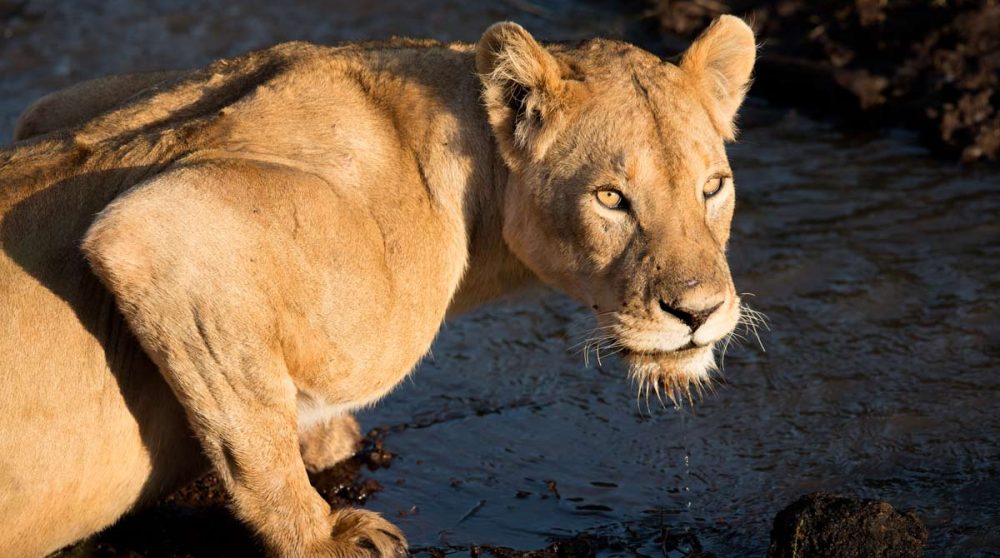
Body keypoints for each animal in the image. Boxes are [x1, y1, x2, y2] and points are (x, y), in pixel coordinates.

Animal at [0, 16, 755, 558]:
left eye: (713, 187)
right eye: (610, 198)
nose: (698, 312)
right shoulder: (159, 231)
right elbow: (252, 439)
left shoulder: (57, 107)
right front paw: (324, 537)